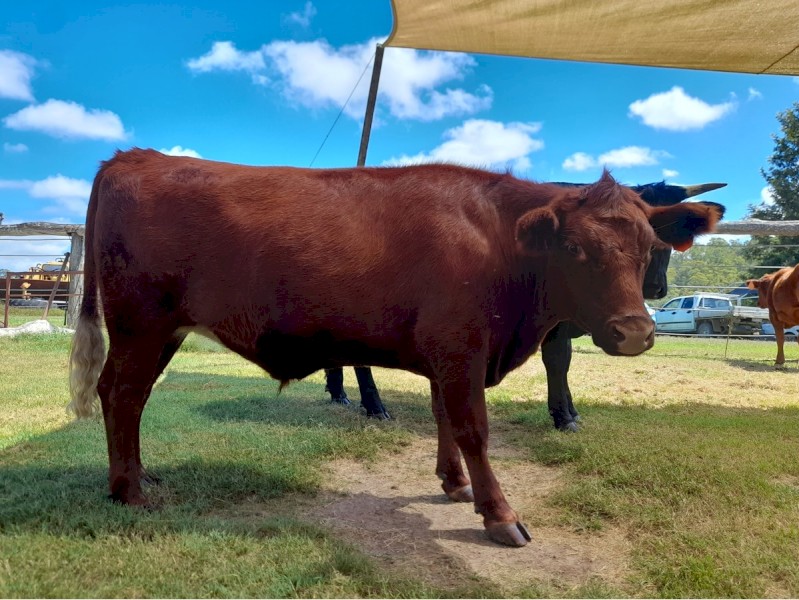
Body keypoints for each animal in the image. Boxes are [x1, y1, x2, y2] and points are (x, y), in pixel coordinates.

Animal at [68, 149, 723, 547]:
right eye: (575, 250)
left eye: (649, 246)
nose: (635, 332)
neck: (497, 240)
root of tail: (134, 157)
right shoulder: (461, 347)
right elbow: (474, 428)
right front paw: (500, 515)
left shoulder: (449, 354)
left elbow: (444, 418)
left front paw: (454, 484)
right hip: (142, 325)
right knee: (121, 395)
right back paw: (129, 492)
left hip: (160, 332)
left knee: (127, 397)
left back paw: (140, 477)